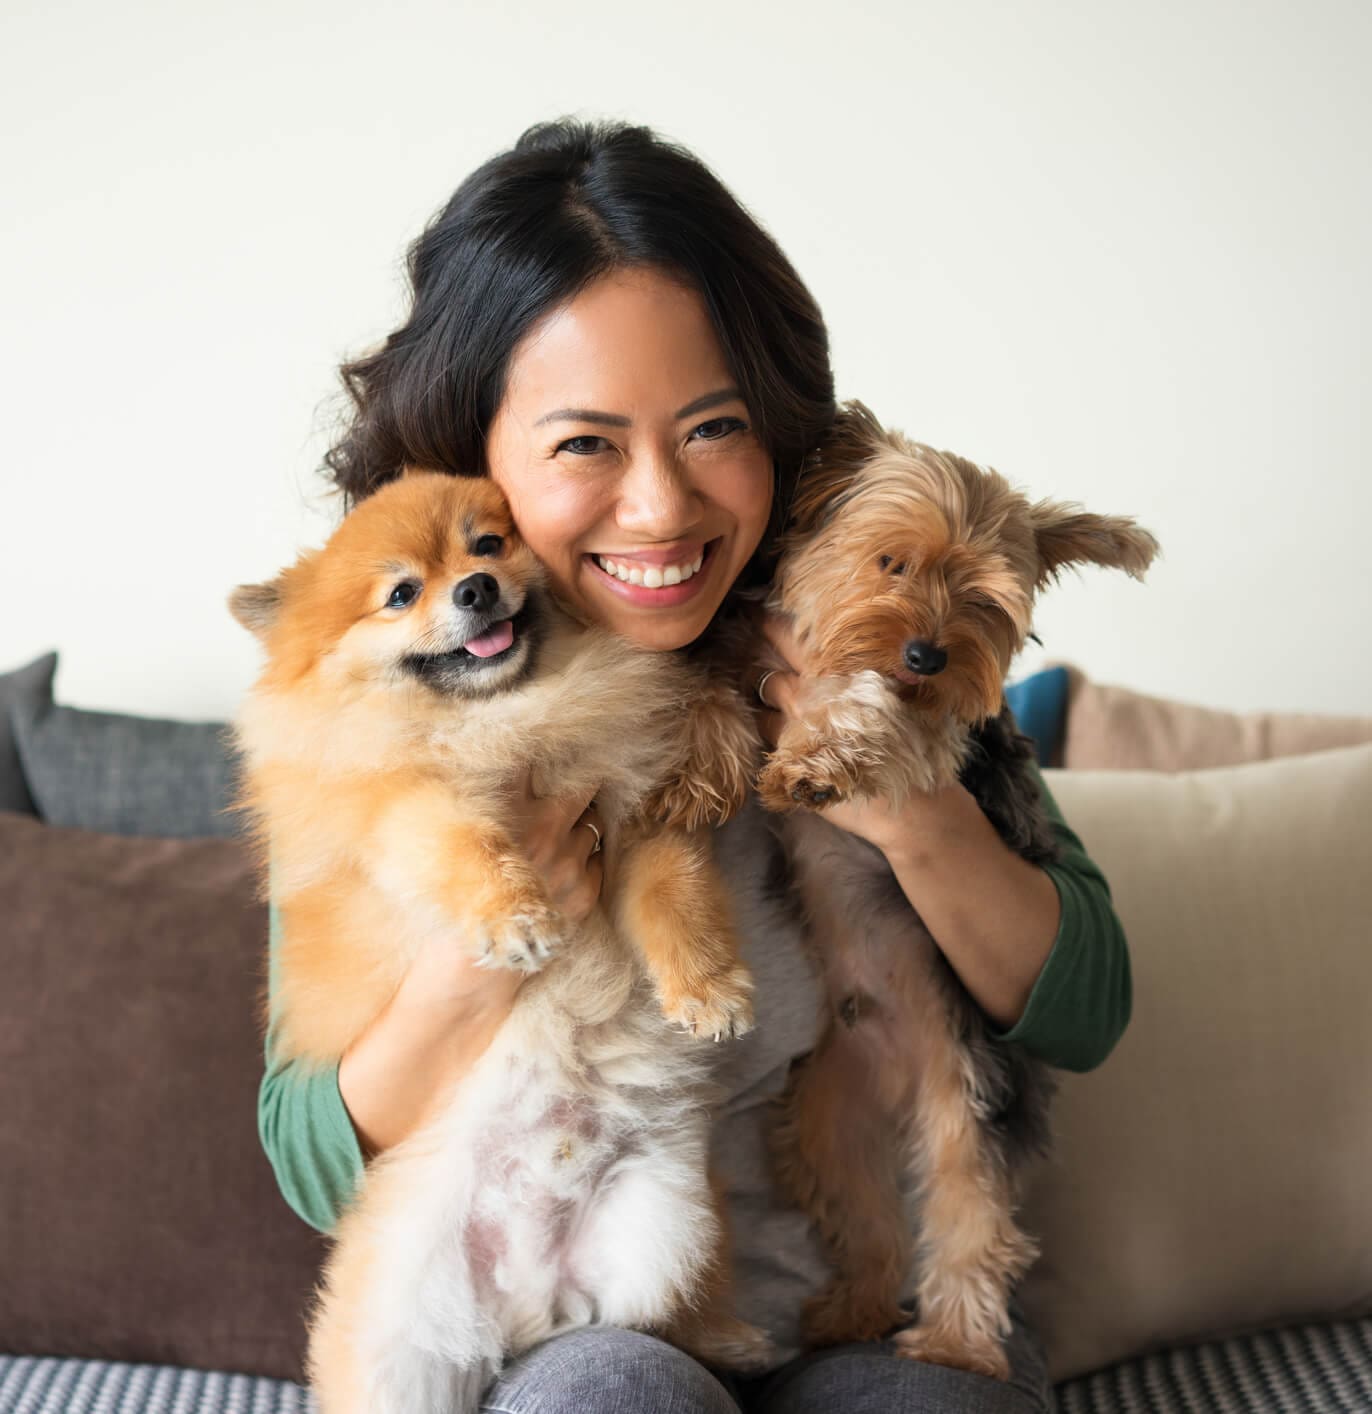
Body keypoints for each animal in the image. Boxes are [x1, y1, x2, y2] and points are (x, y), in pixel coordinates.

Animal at [233, 472, 769, 1414]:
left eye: (487, 544)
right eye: (401, 593)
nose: (476, 590)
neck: (511, 719)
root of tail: (526, 1305)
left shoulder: (634, 821)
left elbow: (675, 897)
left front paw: (708, 989)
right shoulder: (397, 807)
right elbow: (458, 839)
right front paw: (514, 917)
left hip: (658, 1238)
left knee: (653, 1313)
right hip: (402, 1354)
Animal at [758, 407, 1154, 1380]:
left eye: (983, 599)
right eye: (889, 562)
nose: (926, 653)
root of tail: (906, 1080)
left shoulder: (946, 737)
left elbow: (873, 707)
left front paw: (818, 758)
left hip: (973, 1100)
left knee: (972, 1218)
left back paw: (955, 1344)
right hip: (826, 1117)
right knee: (865, 1214)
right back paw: (854, 1311)